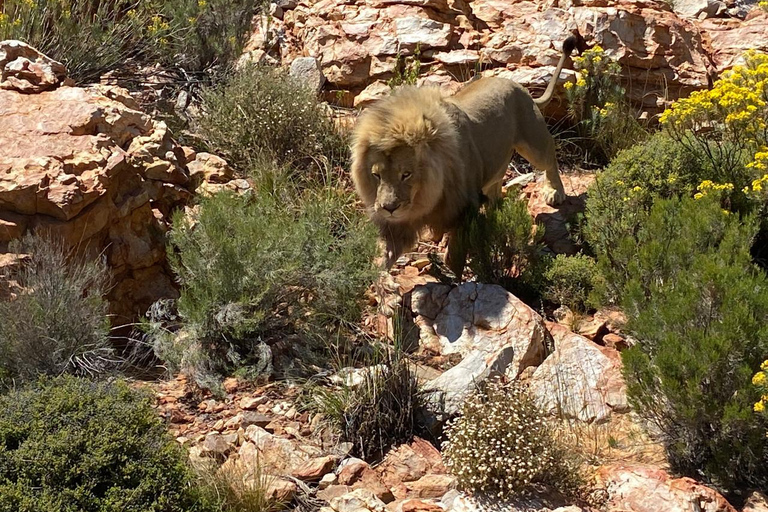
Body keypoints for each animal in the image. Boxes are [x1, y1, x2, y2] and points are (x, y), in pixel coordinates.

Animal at [352, 36, 572, 276]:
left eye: (406, 174)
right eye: (377, 175)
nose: (389, 208)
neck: (425, 197)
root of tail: (517, 85)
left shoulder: (464, 208)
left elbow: (455, 252)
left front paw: (453, 275)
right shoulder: (397, 224)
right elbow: (384, 253)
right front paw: (372, 275)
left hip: (533, 141)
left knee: (550, 159)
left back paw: (554, 192)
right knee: (496, 190)